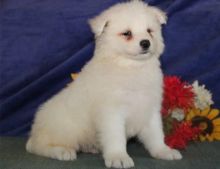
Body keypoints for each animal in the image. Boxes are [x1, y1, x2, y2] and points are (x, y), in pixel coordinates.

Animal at [26, 0, 182, 168]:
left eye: (149, 31)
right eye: (127, 33)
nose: (146, 43)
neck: (131, 67)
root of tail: (35, 131)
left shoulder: (150, 109)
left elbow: (156, 134)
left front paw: (163, 151)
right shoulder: (111, 112)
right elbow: (116, 137)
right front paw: (118, 157)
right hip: (62, 130)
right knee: (39, 146)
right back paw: (61, 151)